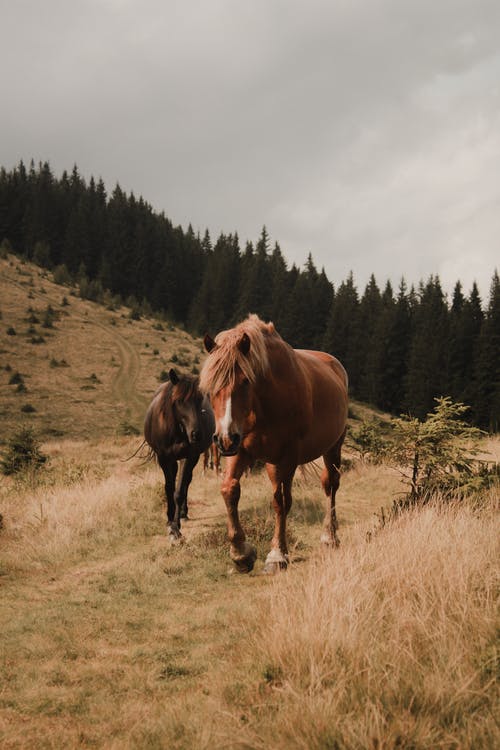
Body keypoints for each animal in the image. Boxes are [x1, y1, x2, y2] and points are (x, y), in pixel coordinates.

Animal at [145, 368, 215, 540]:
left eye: (199, 400)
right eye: (178, 401)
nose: (196, 434)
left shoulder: (189, 457)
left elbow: (179, 491)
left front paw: (176, 527)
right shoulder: (164, 458)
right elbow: (169, 488)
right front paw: (169, 521)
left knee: (187, 481)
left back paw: (183, 513)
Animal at [199, 316, 348, 576]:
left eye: (245, 381)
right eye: (211, 387)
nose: (224, 438)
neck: (263, 403)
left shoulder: (285, 458)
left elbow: (281, 502)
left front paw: (277, 554)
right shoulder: (240, 450)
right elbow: (229, 490)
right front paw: (241, 553)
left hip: (333, 447)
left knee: (330, 485)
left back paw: (330, 536)